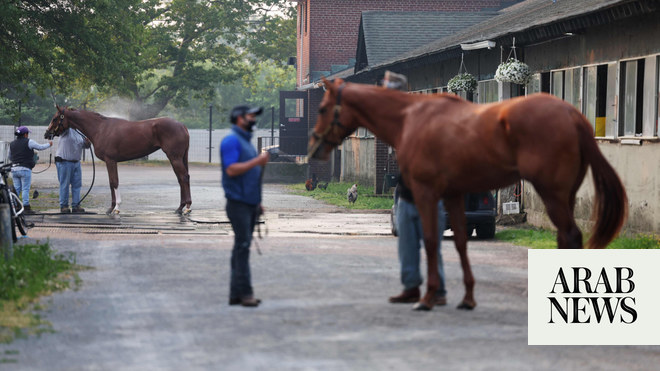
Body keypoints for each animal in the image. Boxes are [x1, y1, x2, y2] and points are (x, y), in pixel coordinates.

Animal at [45, 106, 191, 215]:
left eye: (55, 118)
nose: (47, 134)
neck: (100, 128)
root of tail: (182, 125)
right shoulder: (109, 162)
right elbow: (111, 183)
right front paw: (111, 208)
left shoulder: (111, 160)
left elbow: (114, 182)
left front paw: (116, 208)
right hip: (178, 158)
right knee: (181, 179)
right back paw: (180, 207)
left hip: (174, 158)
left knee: (183, 177)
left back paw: (187, 208)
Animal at [310, 77, 628, 310]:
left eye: (322, 108)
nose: (315, 145)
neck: (411, 119)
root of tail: (572, 114)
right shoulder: (452, 195)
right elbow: (461, 243)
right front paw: (466, 298)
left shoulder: (426, 192)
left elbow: (430, 240)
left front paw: (428, 298)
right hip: (564, 196)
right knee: (565, 237)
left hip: (552, 194)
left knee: (570, 237)